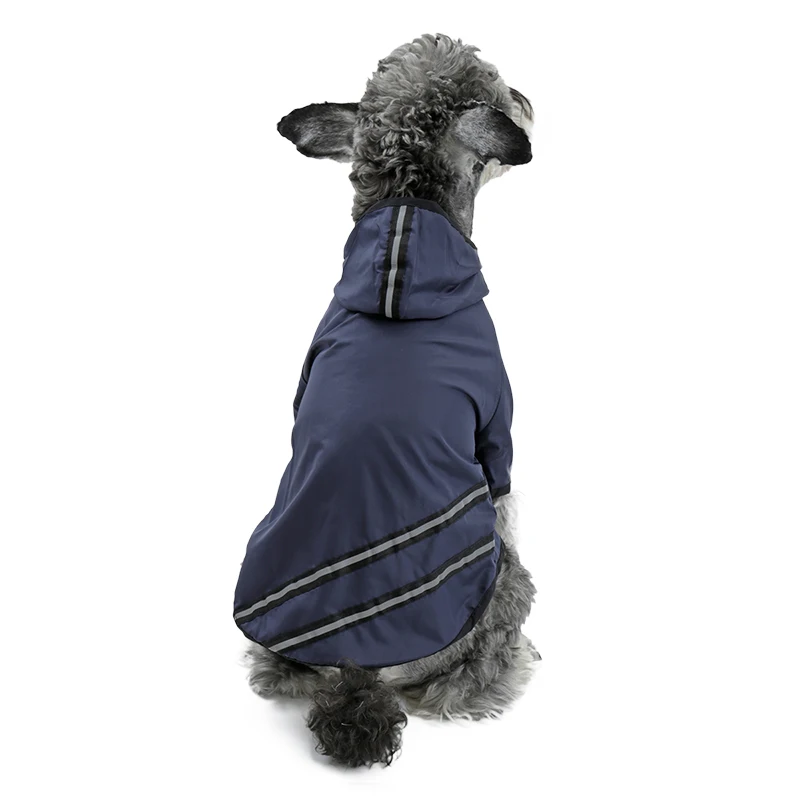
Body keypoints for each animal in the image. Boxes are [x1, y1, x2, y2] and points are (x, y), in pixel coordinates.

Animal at [233, 32, 539, 768]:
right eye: (499, 86)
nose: (527, 98)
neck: (408, 219)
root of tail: (357, 664)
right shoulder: (497, 427)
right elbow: (507, 489)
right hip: (506, 585)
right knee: (456, 684)